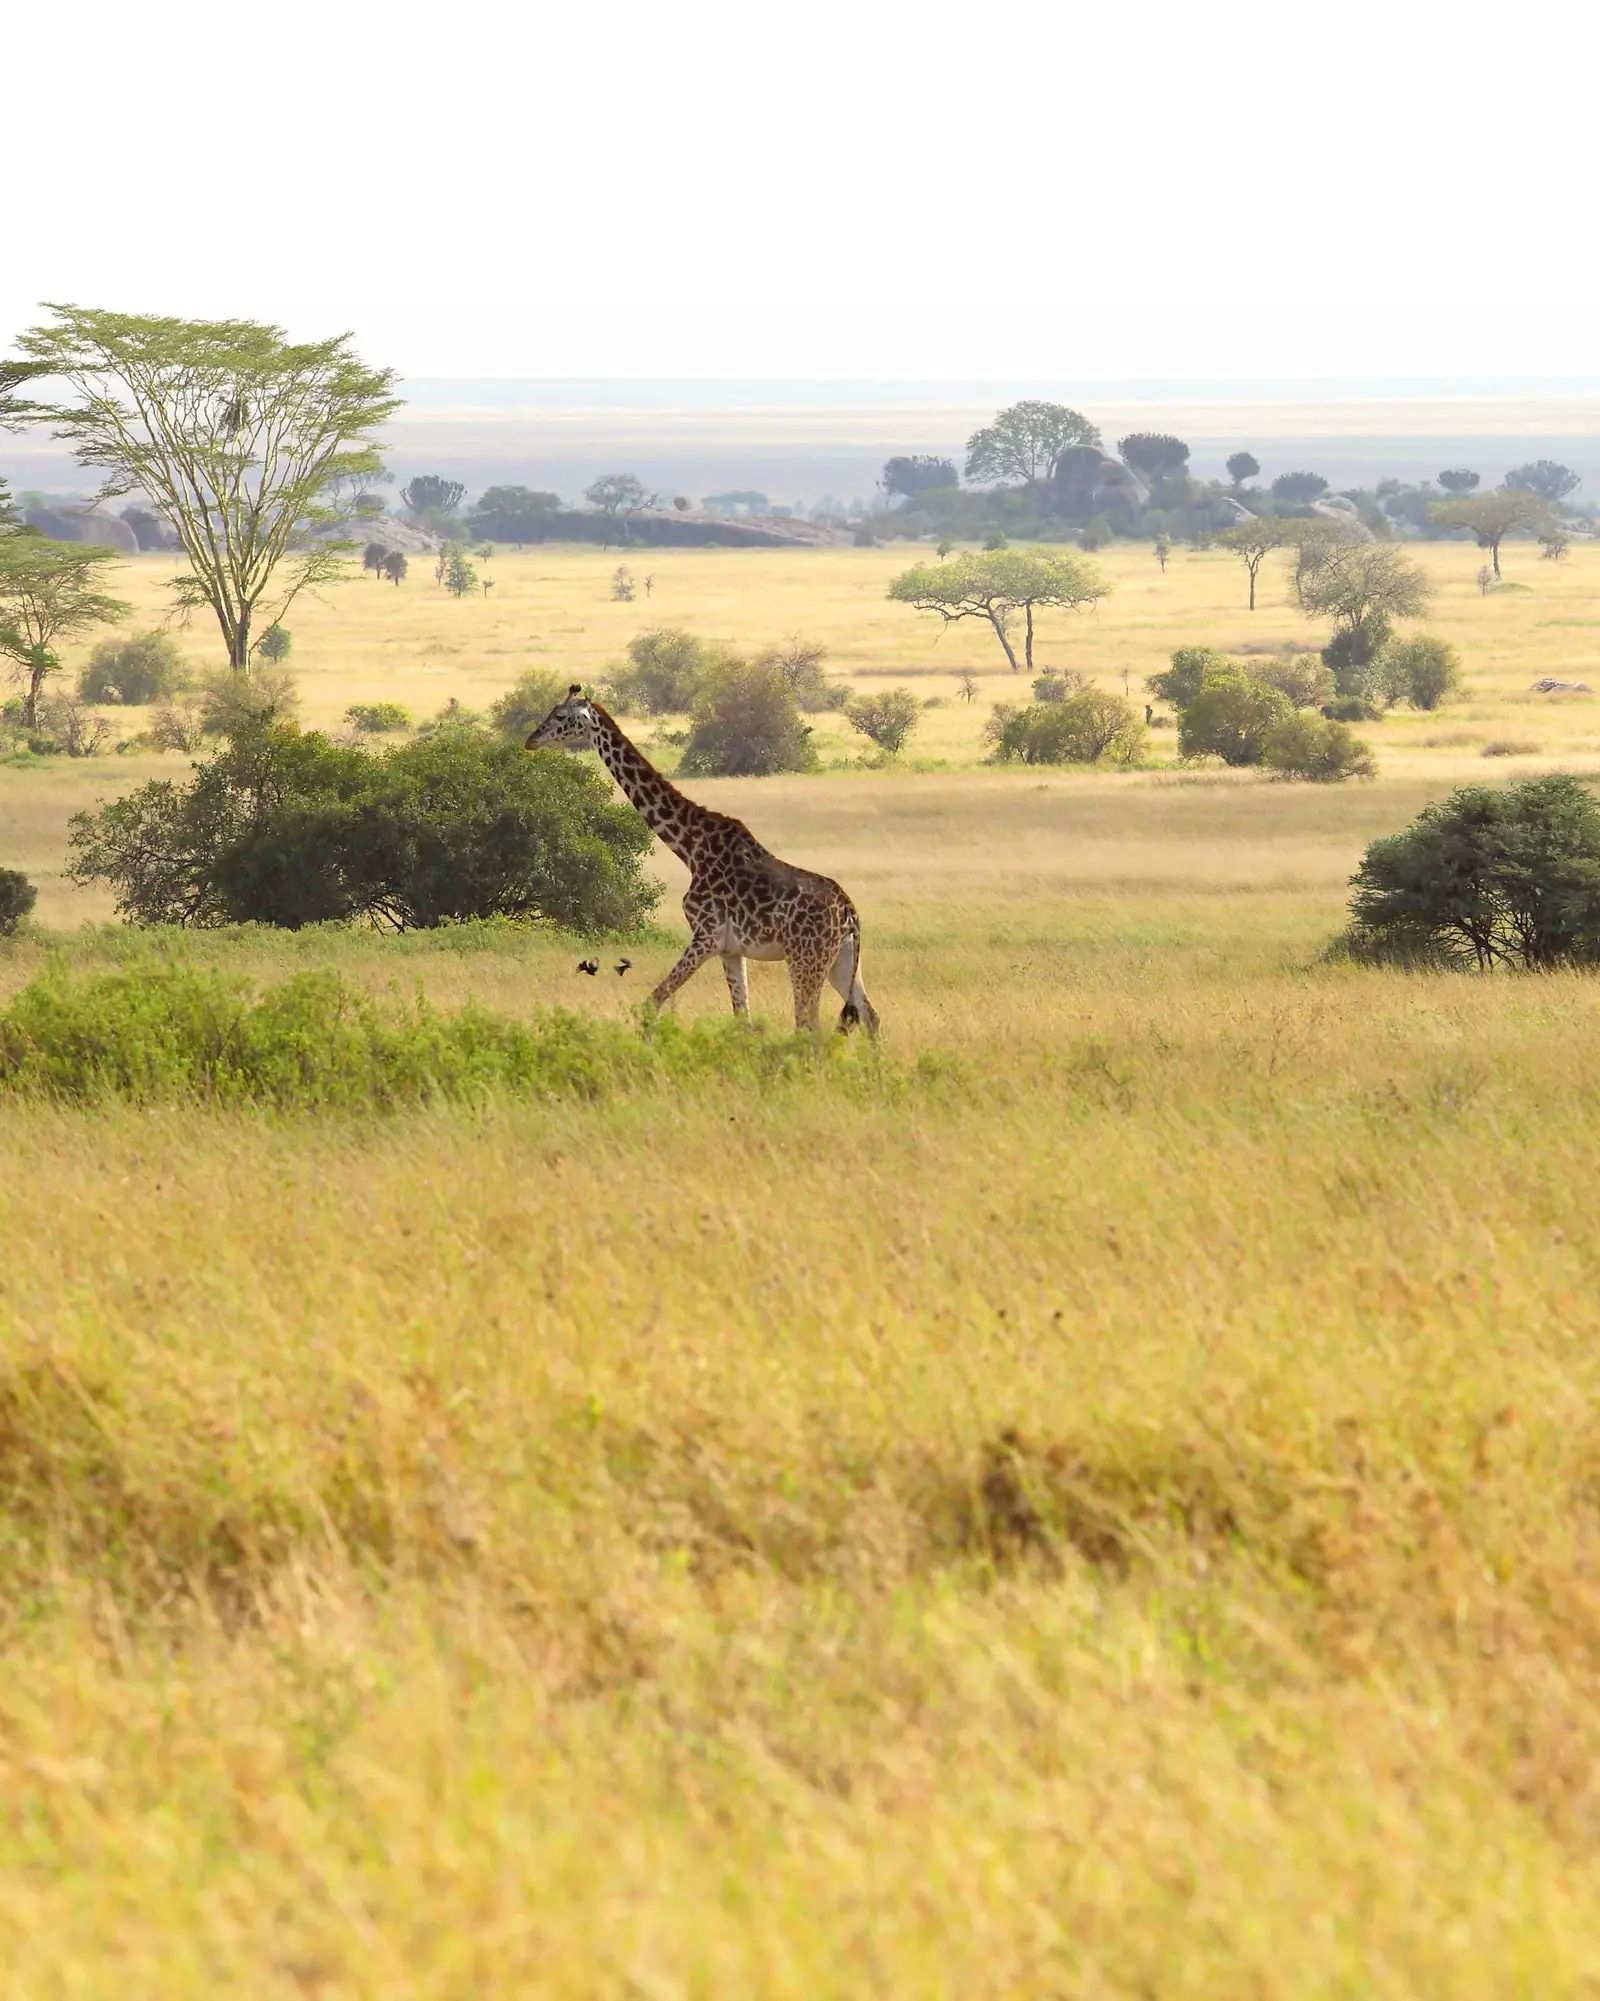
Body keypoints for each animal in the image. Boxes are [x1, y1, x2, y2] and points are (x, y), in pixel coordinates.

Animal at [528, 684, 880, 1040]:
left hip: (805, 958)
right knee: (869, 1015)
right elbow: (742, 1019)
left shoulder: (706, 935)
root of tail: (850, 913)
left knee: (809, 1027)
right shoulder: (731, 949)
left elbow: (653, 1000)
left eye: (560, 716)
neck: (690, 849)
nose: (531, 739)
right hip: (841, 961)